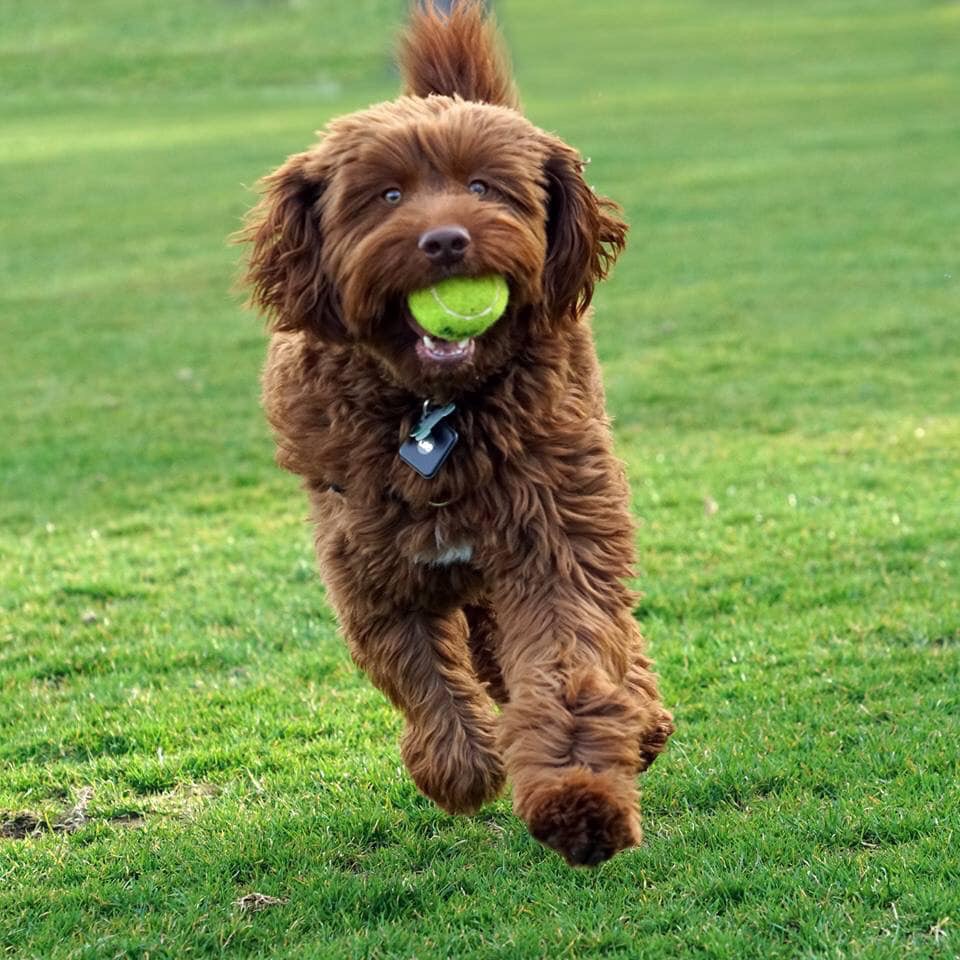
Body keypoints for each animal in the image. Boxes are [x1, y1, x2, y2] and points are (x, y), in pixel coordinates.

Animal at [242, 0, 676, 868]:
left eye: (482, 186)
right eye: (385, 195)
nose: (445, 240)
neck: (433, 412)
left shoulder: (555, 540)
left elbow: (570, 664)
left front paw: (579, 799)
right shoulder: (371, 571)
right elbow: (421, 675)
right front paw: (460, 766)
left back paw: (642, 721)